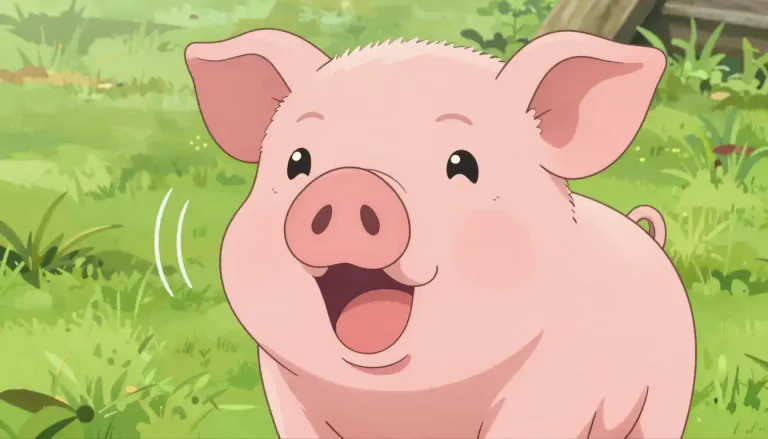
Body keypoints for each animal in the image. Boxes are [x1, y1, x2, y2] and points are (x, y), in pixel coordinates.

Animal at [185, 28, 696, 439]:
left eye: (462, 163)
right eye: (297, 161)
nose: (349, 183)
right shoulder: (285, 393)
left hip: (670, 385)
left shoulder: (552, 392)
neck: (398, 401)